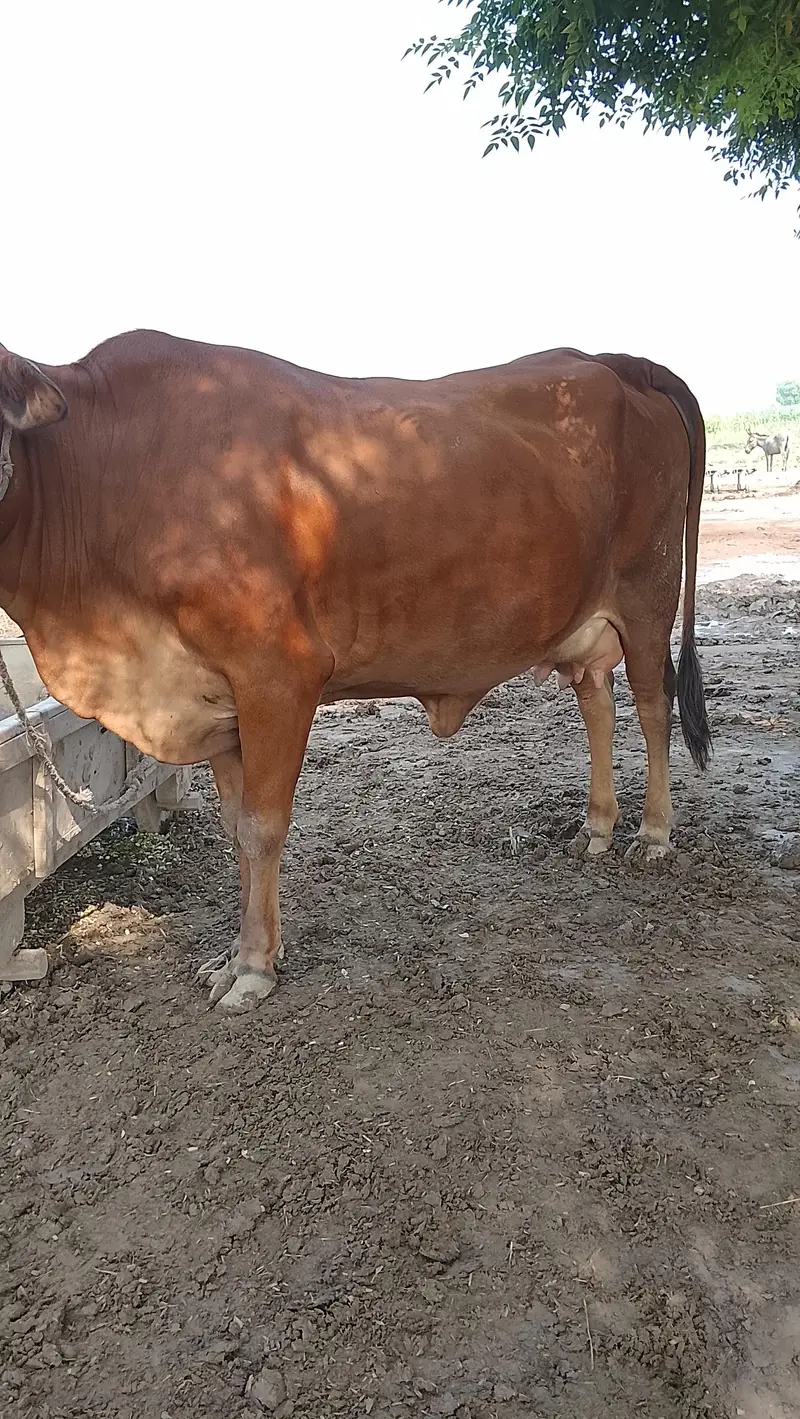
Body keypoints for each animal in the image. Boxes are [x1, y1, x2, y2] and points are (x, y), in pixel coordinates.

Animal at [0, 332, 711, 1011]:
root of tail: (614, 362)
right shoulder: (218, 700)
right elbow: (236, 829)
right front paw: (240, 954)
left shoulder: (278, 677)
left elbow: (261, 827)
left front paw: (253, 969)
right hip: (587, 623)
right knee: (599, 704)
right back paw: (597, 827)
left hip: (648, 595)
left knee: (654, 707)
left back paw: (653, 833)